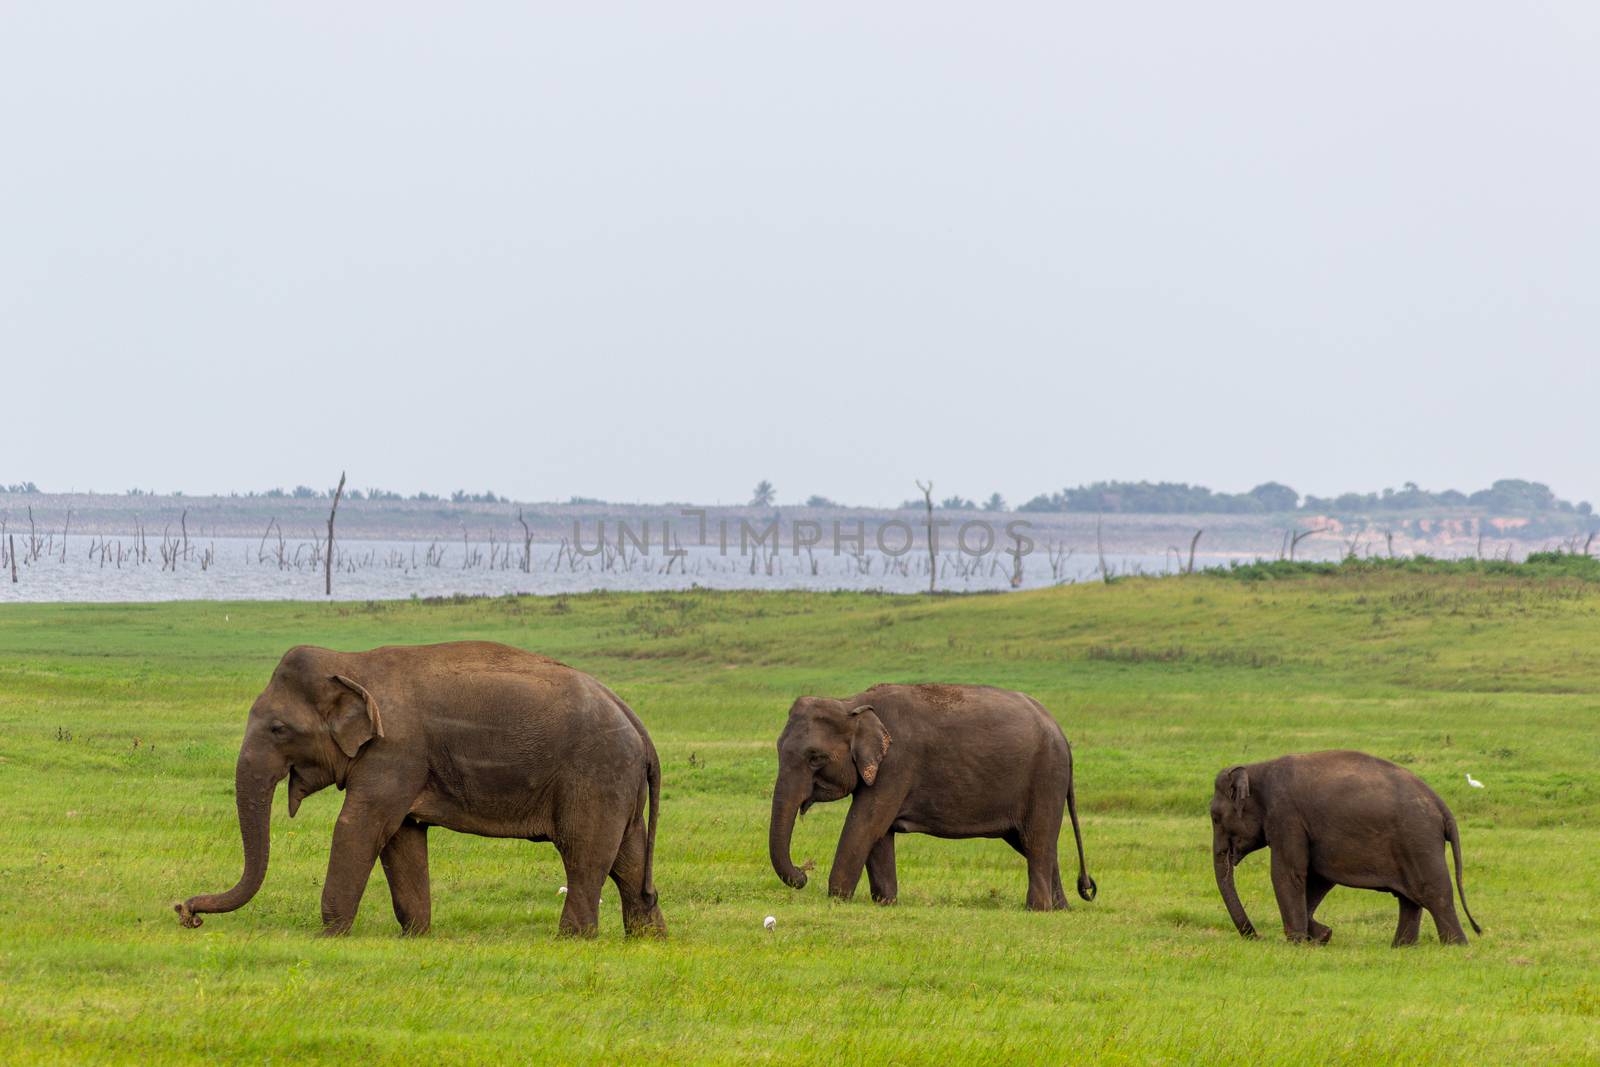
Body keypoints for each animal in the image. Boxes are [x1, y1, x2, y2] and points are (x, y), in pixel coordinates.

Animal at [168, 643, 656, 934]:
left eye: (278, 728)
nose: (186, 912)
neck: (353, 663)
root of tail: (635, 721)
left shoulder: (395, 750)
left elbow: (359, 825)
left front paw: (329, 934)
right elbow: (402, 836)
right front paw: (416, 934)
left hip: (594, 779)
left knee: (584, 856)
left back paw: (572, 939)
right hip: (620, 789)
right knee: (627, 862)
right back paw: (646, 939)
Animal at [768, 684, 1094, 908]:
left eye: (815, 758)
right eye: (778, 749)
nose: (803, 873)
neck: (851, 703)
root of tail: (1062, 735)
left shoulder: (897, 764)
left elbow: (866, 824)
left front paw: (837, 898)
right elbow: (879, 834)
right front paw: (886, 902)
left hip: (1045, 778)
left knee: (1037, 841)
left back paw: (1036, 909)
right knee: (1034, 843)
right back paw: (1060, 908)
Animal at [1209, 748, 1484, 947]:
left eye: (1215, 817)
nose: (1256, 936)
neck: (1257, 768)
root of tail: (1442, 807)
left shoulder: (1285, 815)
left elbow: (1289, 873)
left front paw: (1298, 942)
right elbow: (1318, 877)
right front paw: (1321, 935)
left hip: (1418, 839)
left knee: (1434, 893)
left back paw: (1455, 946)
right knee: (1409, 899)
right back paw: (1402, 947)